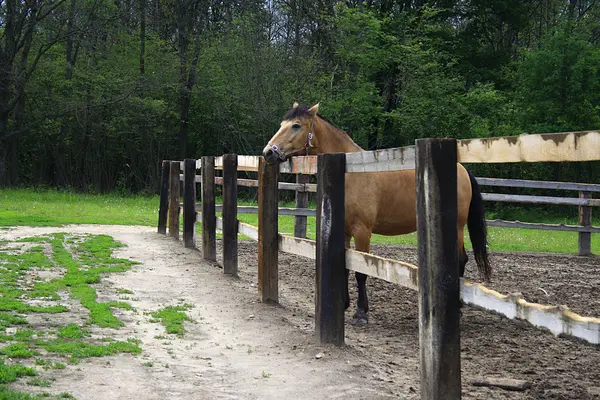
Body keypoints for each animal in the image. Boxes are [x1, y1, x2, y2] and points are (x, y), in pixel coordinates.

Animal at [264, 103, 492, 324]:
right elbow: (346, 266)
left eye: (296, 125)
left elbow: (361, 271)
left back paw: (459, 310)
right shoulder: (345, 232)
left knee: (461, 260)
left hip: (458, 228)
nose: (268, 153)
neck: (350, 173)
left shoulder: (362, 231)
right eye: (282, 124)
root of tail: (463, 171)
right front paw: (344, 305)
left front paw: (360, 313)